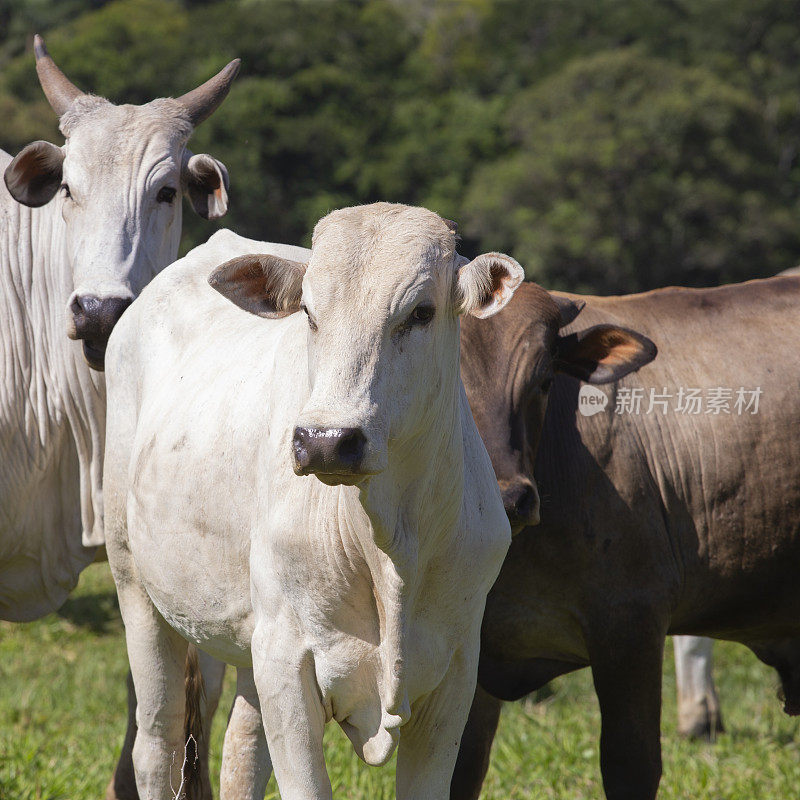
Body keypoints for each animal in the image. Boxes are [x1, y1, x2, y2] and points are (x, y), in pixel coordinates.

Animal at [104, 206, 520, 800]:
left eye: (421, 312)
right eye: (308, 311)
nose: (326, 439)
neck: (389, 545)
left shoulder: (456, 673)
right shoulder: (287, 664)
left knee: (241, 751)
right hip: (136, 585)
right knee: (158, 744)